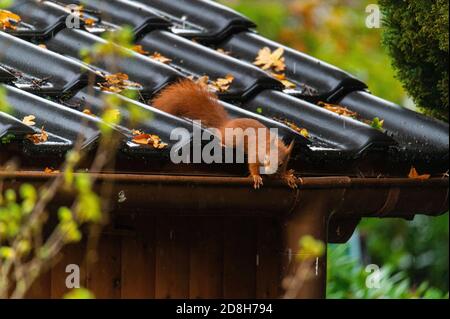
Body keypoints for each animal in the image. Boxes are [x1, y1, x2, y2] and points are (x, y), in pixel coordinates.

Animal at [152, 80, 298, 190]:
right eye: (266, 158)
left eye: (280, 164)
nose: (268, 172)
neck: (267, 144)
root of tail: (226, 123)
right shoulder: (255, 152)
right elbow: (253, 165)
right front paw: (256, 176)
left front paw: (287, 176)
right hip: (233, 138)